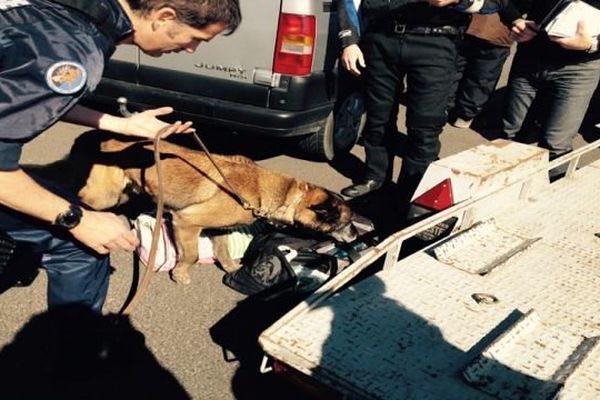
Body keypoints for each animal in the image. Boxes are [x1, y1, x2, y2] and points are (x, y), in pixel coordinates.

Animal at [70, 132, 356, 284]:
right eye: (347, 222)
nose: (356, 235)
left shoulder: (220, 229)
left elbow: (223, 251)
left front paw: (230, 268)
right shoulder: (186, 221)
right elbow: (191, 254)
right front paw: (180, 273)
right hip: (103, 195)